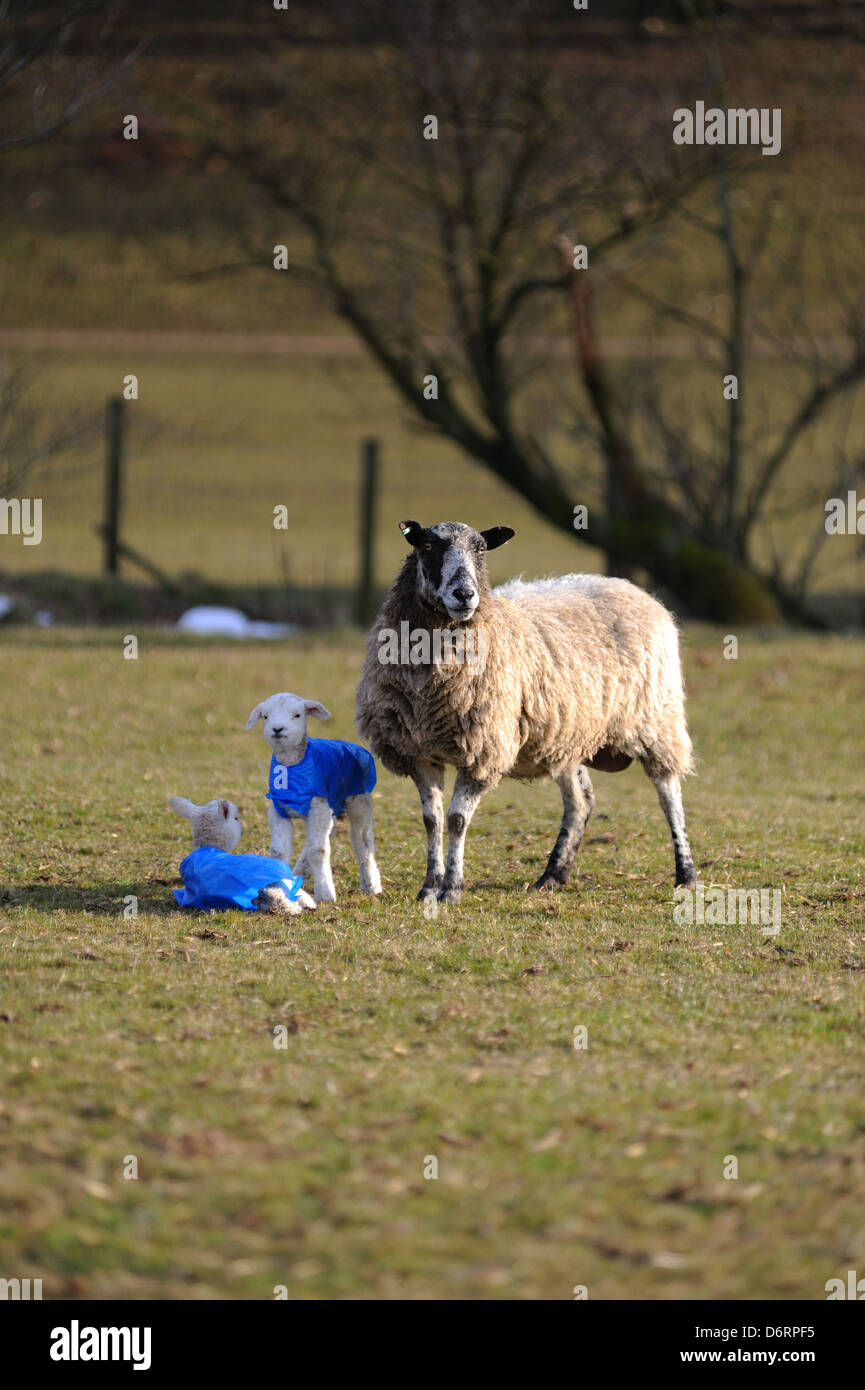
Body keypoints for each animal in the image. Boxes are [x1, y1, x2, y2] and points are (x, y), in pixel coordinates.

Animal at [356, 519, 700, 900]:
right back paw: (553, 875)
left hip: (656, 719)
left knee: (670, 794)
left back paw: (686, 874)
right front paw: (430, 887)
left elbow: (458, 820)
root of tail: (629, 587)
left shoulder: (483, 748)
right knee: (581, 801)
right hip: (569, 735)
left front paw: (453, 888)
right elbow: (432, 820)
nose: (464, 594)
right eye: (428, 546)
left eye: (480, 549)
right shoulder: (417, 752)